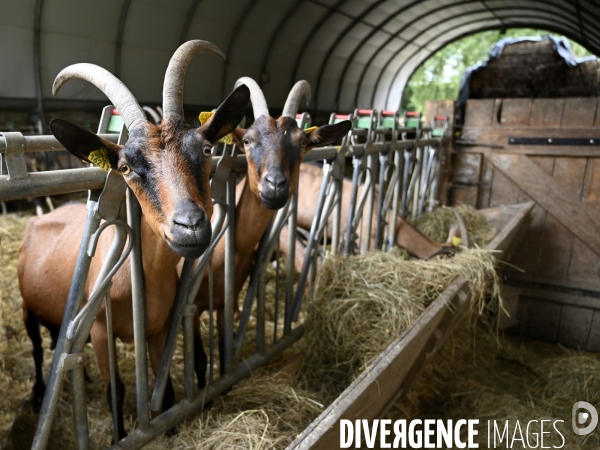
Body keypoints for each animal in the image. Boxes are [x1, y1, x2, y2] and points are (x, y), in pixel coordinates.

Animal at [17, 40, 250, 442]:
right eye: (125, 167)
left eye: (205, 150)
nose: (190, 226)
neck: (141, 280)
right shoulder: (99, 332)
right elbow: (119, 390)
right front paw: (117, 436)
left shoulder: (157, 330)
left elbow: (164, 386)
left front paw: (168, 430)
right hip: (28, 309)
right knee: (34, 348)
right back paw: (37, 396)